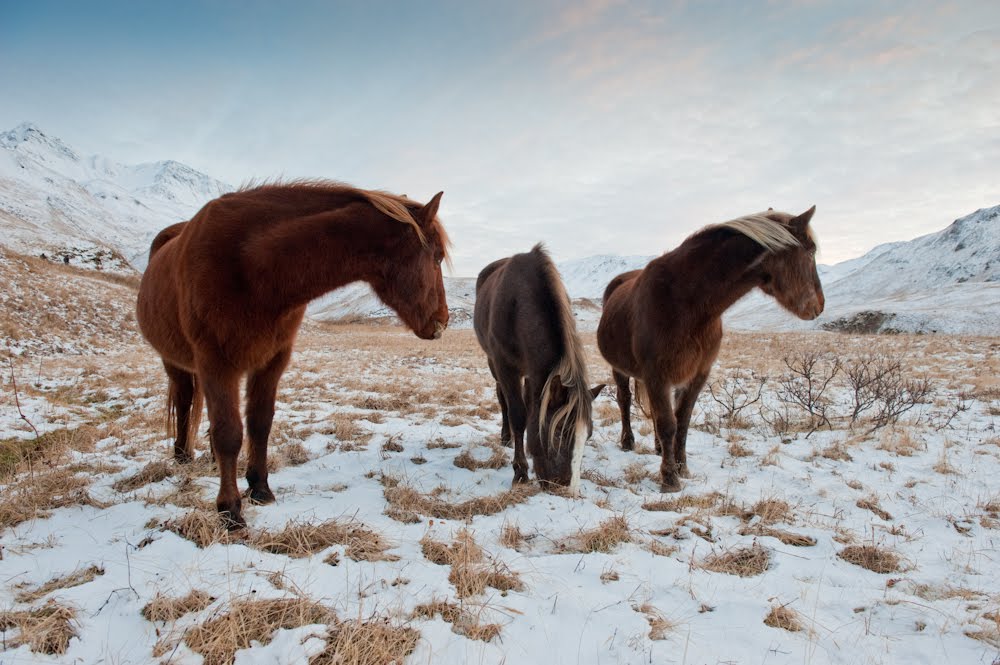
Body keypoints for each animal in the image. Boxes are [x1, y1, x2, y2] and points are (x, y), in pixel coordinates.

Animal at [136, 181, 451, 528]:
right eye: (437, 257)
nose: (443, 321)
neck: (252, 267)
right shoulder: (216, 362)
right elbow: (229, 433)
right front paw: (230, 510)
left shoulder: (273, 360)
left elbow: (260, 422)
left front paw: (259, 487)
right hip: (175, 362)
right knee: (183, 400)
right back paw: (182, 455)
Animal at [474, 244, 604, 491]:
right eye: (560, 432)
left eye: (589, 435)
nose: (566, 489)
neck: (519, 303)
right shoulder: (505, 366)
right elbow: (517, 414)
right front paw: (520, 472)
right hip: (493, 364)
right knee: (502, 398)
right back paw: (506, 437)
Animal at [597, 206, 823, 492]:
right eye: (812, 251)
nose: (819, 306)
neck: (688, 303)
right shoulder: (657, 375)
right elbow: (668, 423)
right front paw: (670, 479)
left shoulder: (698, 374)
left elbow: (682, 421)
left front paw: (681, 467)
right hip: (619, 368)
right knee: (624, 400)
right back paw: (628, 441)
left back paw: (659, 448)